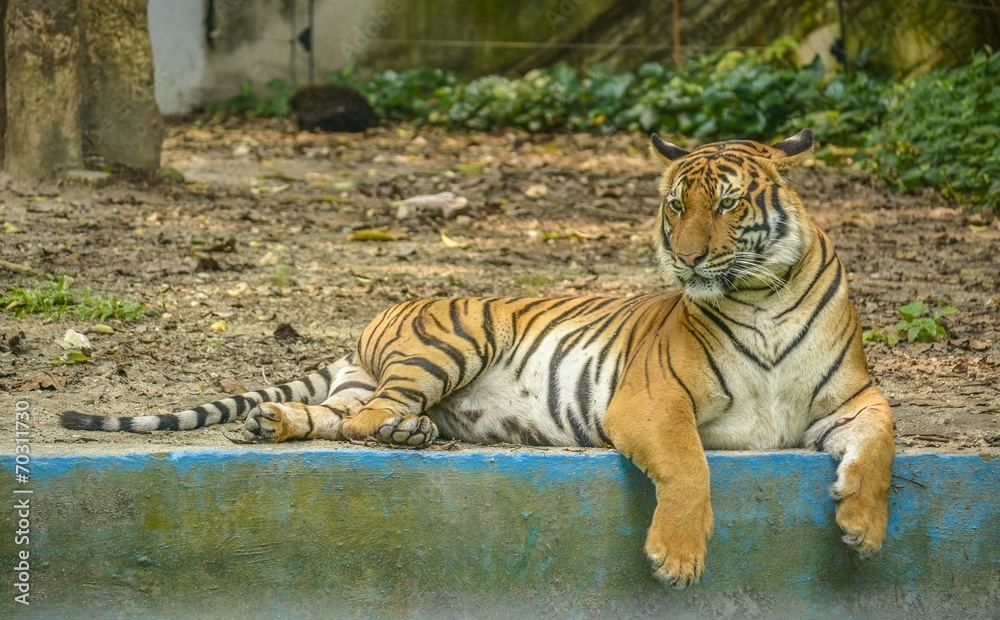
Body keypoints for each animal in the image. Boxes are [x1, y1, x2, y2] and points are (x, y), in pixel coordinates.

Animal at [60, 130, 900, 588]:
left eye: (726, 204)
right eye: (674, 204)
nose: (687, 257)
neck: (760, 295)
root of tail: (375, 319)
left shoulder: (854, 398)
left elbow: (881, 447)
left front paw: (862, 529)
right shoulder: (653, 399)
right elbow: (690, 468)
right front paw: (677, 558)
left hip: (381, 380)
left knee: (341, 413)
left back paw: (289, 425)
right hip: (455, 338)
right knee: (363, 418)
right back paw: (386, 433)